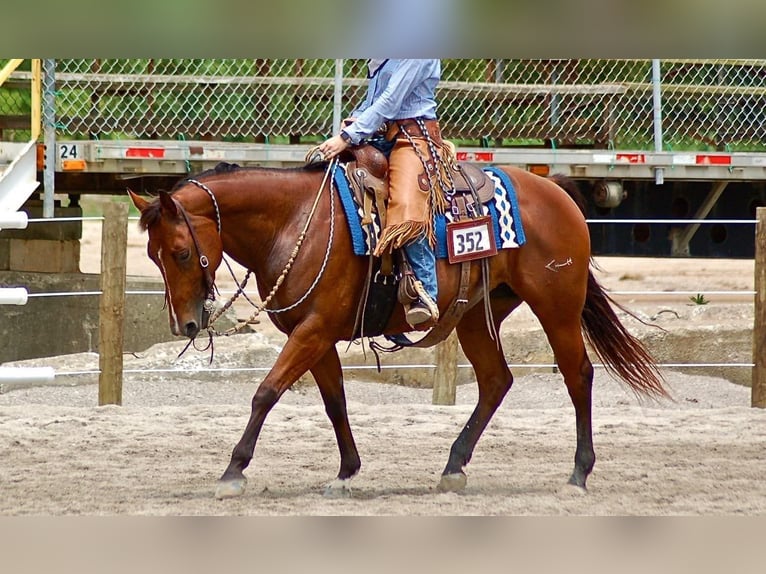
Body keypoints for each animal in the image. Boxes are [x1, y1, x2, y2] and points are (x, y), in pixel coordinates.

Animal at [128, 160, 668, 499]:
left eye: (180, 252)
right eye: (154, 255)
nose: (185, 324)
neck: (295, 222)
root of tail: (556, 190)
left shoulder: (314, 331)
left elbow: (266, 392)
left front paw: (233, 471)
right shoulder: (316, 334)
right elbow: (335, 402)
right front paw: (346, 473)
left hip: (557, 306)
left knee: (578, 375)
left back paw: (578, 472)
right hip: (476, 315)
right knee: (496, 380)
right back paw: (453, 467)